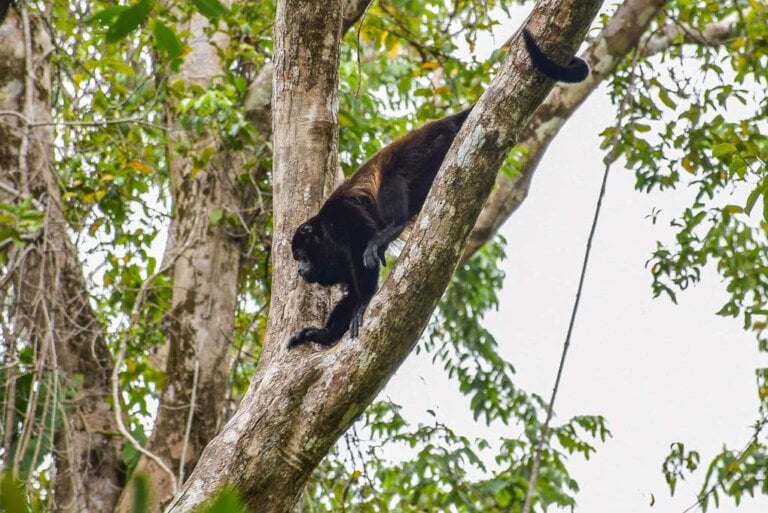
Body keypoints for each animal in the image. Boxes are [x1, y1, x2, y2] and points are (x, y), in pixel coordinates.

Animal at [288, 28, 589, 349]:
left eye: (302, 254)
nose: (300, 270)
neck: (324, 235)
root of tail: (441, 122)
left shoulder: (340, 217)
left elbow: (362, 246)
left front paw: (363, 304)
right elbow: (350, 291)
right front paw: (321, 333)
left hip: (431, 144)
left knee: (393, 176)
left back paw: (392, 227)